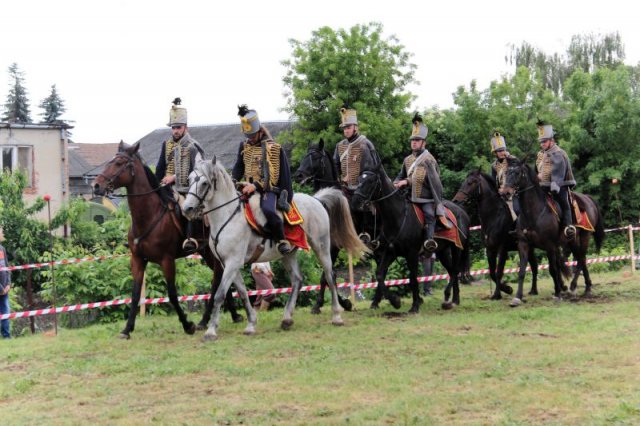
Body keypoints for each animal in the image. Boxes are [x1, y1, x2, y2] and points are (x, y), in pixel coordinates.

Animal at [92, 141, 238, 338]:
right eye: (110, 161)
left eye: (119, 163)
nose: (96, 185)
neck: (149, 216)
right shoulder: (137, 259)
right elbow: (135, 294)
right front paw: (127, 329)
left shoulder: (167, 260)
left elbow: (172, 294)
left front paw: (187, 325)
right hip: (206, 252)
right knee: (221, 277)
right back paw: (231, 316)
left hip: (211, 252)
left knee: (216, 279)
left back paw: (204, 320)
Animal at [182, 158, 368, 342]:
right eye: (190, 180)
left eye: (205, 183)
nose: (187, 209)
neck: (228, 216)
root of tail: (316, 200)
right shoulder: (227, 264)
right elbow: (242, 293)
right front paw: (251, 324)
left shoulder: (233, 263)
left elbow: (219, 295)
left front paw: (211, 331)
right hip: (288, 254)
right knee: (297, 279)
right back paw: (287, 318)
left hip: (321, 246)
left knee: (329, 276)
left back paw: (336, 316)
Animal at [350, 163, 470, 312]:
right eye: (360, 179)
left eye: (371, 181)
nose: (355, 202)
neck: (398, 216)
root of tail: (462, 212)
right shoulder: (390, 252)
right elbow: (380, 274)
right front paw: (395, 301)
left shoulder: (411, 254)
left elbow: (413, 278)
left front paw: (415, 305)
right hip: (442, 251)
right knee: (452, 270)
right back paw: (454, 300)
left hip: (457, 248)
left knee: (456, 270)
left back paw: (448, 296)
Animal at [450, 170, 540, 300]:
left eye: (471, 182)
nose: (456, 201)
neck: (494, 216)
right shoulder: (490, 249)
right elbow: (492, 273)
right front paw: (507, 289)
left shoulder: (502, 249)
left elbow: (499, 272)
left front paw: (498, 294)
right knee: (534, 265)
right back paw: (533, 290)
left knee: (534, 266)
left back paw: (534, 290)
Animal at [502, 158, 604, 304]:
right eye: (506, 173)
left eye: (517, 173)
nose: (505, 193)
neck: (533, 212)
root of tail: (587, 199)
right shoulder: (524, 244)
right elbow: (522, 271)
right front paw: (517, 297)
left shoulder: (549, 245)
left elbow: (553, 269)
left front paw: (558, 293)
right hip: (572, 240)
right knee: (581, 259)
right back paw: (586, 287)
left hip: (585, 236)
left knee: (581, 259)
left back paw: (575, 286)